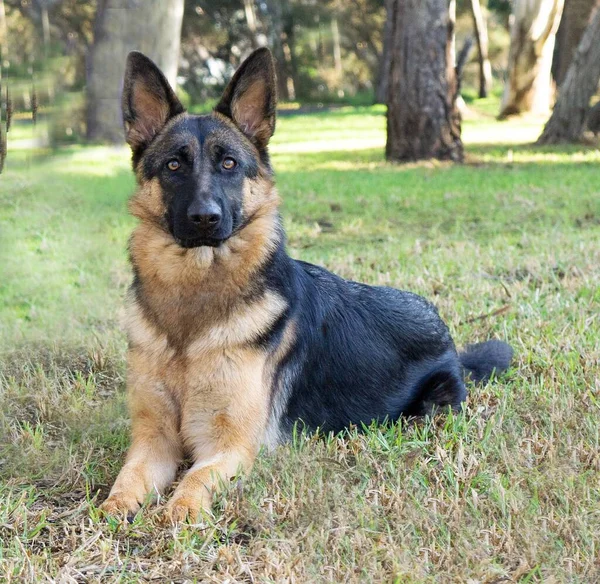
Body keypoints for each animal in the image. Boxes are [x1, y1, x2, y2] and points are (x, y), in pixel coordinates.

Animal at [101, 46, 512, 520]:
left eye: (229, 164)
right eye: (172, 166)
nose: (205, 218)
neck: (192, 310)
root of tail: (448, 339)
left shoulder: (229, 447)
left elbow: (195, 479)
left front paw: (180, 511)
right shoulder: (154, 440)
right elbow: (127, 477)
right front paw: (115, 506)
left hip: (431, 407)